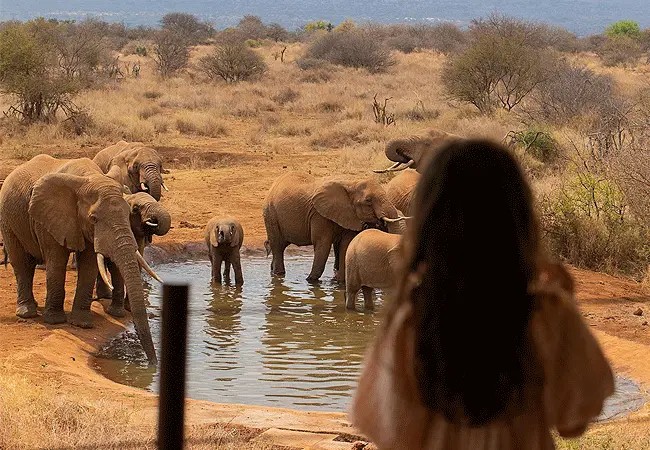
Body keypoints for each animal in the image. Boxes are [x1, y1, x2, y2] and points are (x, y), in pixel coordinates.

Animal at [0, 155, 159, 364]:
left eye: (129, 213)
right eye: (93, 219)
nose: (153, 365)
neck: (89, 178)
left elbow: (90, 263)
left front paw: (82, 324)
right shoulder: (50, 218)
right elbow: (57, 260)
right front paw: (55, 321)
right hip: (7, 218)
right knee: (21, 263)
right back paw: (27, 313)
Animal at [263, 172, 408, 283]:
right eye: (368, 201)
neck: (350, 183)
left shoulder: (349, 215)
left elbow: (345, 244)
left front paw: (340, 283)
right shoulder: (319, 214)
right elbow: (323, 243)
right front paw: (311, 281)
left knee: (280, 246)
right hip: (270, 213)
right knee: (277, 245)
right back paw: (279, 275)